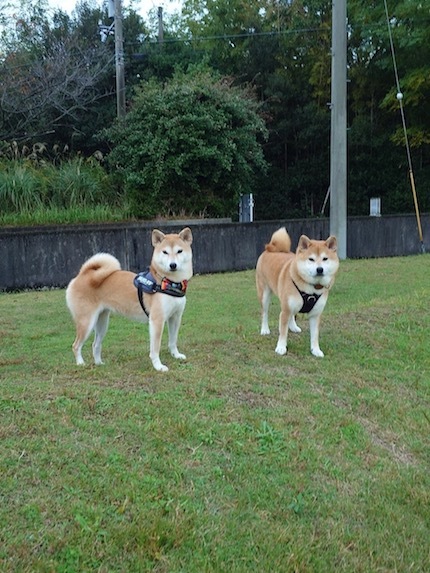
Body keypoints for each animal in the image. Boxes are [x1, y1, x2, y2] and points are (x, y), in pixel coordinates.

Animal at [66, 227, 193, 370]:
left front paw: (176, 355)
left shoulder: (175, 317)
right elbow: (155, 348)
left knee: (95, 345)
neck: (168, 282)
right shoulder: (157, 320)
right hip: (87, 322)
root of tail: (83, 274)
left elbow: (173, 340)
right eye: (165, 252)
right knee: (76, 345)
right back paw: (80, 363)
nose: (172, 265)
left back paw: (99, 363)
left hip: (102, 322)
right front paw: (158, 366)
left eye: (179, 251)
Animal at [255, 226, 340, 356]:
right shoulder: (285, 311)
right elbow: (283, 332)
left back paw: (293, 327)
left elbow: (314, 335)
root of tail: (270, 249)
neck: (311, 288)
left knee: (292, 315)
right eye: (311, 259)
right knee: (264, 313)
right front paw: (281, 347)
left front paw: (316, 350)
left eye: (325, 259)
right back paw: (265, 329)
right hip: (264, 294)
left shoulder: (315, 314)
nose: (319, 269)